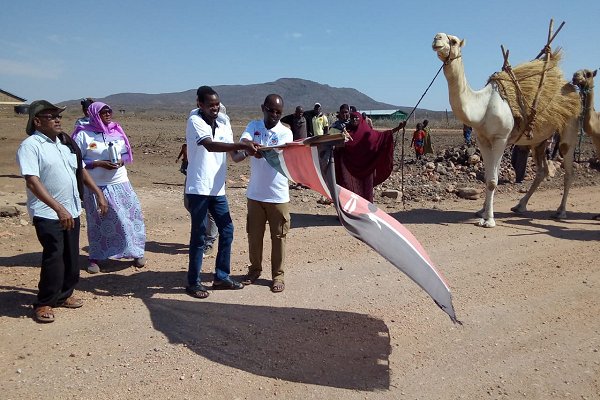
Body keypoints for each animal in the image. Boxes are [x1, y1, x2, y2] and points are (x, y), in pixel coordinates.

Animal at [432, 33, 580, 228]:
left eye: (454, 41)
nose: (437, 38)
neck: (482, 106)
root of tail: (572, 91)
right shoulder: (483, 139)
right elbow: (488, 177)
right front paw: (481, 211)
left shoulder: (500, 138)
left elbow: (493, 181)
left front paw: (489, 220)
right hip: (539, 140)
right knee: (542, 170)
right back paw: (520, 206)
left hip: (569, 127)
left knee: (568, 171)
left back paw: (561, 211)